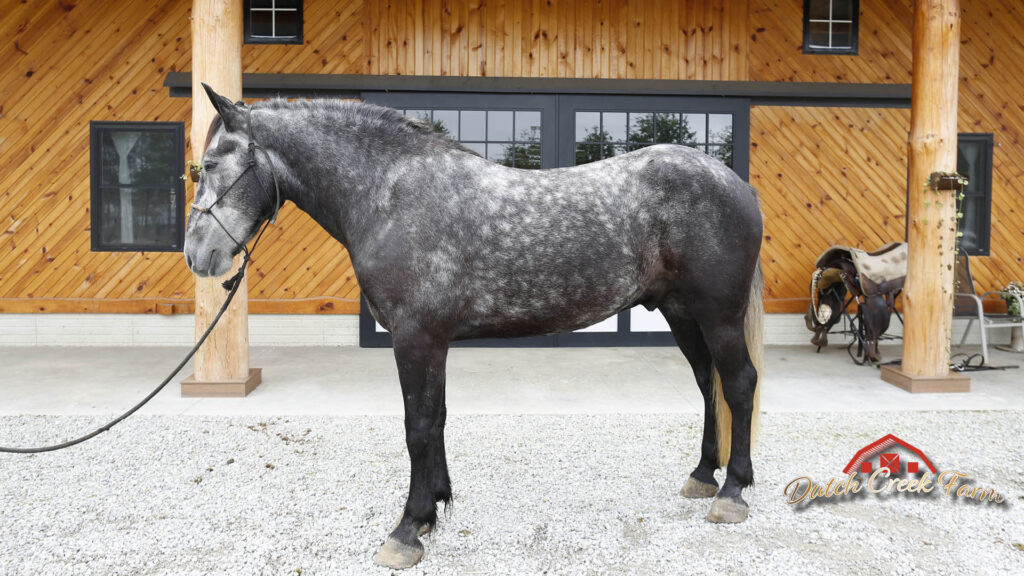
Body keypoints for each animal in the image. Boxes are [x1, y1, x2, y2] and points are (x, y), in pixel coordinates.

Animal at [182, 83, 761, 565]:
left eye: (208, 164)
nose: (196, 255)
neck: (389, 195)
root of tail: (736, 184)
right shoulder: (432, 342)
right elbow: (436, 419)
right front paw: (435, 506)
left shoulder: (416, 340)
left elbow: (417, 427)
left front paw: (407, 529)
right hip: (682, 314)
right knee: (707, 384)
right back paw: (702, 476)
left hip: (718, 314)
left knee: (738, 384)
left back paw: (732, 493)